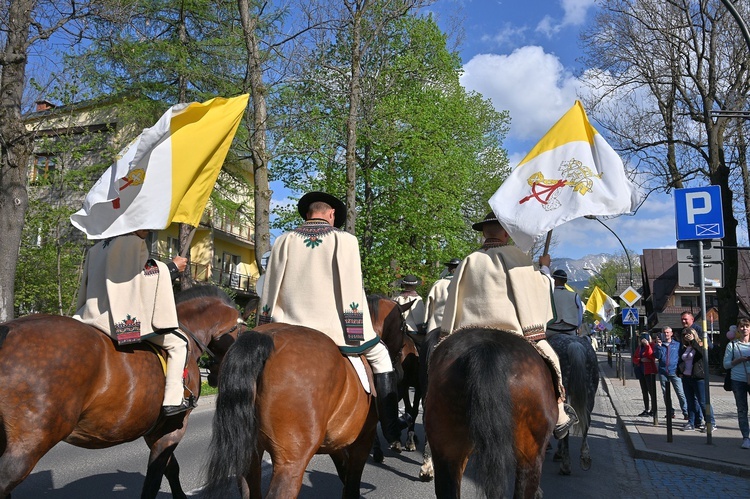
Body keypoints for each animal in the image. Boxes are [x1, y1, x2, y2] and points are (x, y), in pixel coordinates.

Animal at [0, 286, 244, 499]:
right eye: (241, 332)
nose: (215, 374)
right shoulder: (174, 427)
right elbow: (155, 478)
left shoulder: (155, 431)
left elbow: (170, 468)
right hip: (31, 443)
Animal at [203, 296, 408, 499]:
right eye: (403, 327)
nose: (401, 368)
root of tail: (264, 338)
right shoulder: (363, 440)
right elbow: (351, 484)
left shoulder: (335, 444)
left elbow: (344, 473)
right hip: (291, 461)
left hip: (250, 457)